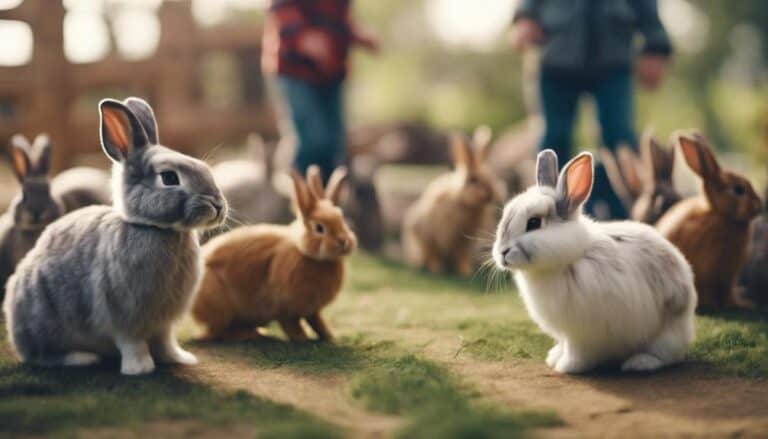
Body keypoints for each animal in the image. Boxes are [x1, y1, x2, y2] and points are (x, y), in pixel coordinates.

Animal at [3, 97, 227, 375]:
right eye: (169, 177)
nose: (218, 205)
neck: (156, 228)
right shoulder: (124, 315)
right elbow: (133, 343)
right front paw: (141, 369)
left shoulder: (163, 322)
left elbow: (165, 341)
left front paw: (179, 358)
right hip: (42, 319)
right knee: (41, 356)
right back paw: (81, 358)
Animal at [192, 165, 356, 342]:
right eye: (319, 228)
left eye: (342, 221)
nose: (344, 242)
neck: (305, 252)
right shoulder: (285, 309)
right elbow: (291, 323)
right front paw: (301, 339)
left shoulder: (313, 311)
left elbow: (317, 321)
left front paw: (329, 335)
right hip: (220, 308)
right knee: (216, 331)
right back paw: (250, 334)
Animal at [403, 127, 506, 276]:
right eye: (473, 180)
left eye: (491, 176)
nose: (490, 193)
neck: (463, 202)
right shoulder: (435, 235)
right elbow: (433, 252)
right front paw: (437, 269)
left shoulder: (463, 242)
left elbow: (462, 256)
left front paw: (465, 271)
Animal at [492, 149, 696, 374]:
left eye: (534, 223)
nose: (502, 253)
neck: (569, 257)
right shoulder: (566, 333)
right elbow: (563, 344)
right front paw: (553, 357)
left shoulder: (580, 333)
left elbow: (576, 351)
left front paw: (566, 366)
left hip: (663, 333)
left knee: (668, 356)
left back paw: (640, 362)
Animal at [656, 131, 762, 311]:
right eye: (738, 190)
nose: (759, 207)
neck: (720, 214)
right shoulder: (711, 271)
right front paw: (714, 305)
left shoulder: (730, 275)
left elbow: (729, 292)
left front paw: (742, 303)